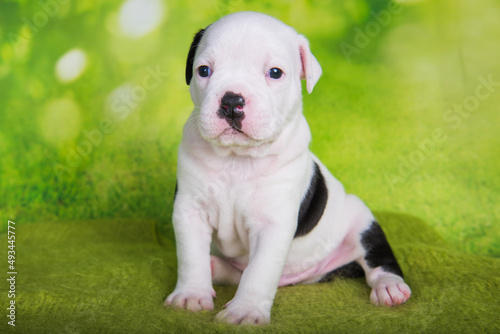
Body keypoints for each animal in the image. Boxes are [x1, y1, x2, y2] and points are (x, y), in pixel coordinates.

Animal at [164, 12, 410, 324]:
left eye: (275, 73)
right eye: (204, 70)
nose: (232, 101)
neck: (237, 159)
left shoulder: (273, 223)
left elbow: (259, 271)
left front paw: (245, 311)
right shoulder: (189, 210)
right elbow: (190, 256)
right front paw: (191, 295)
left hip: (363, 222)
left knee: (378, 260)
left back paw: (390, 287)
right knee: (236, 271)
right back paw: (214, 267)